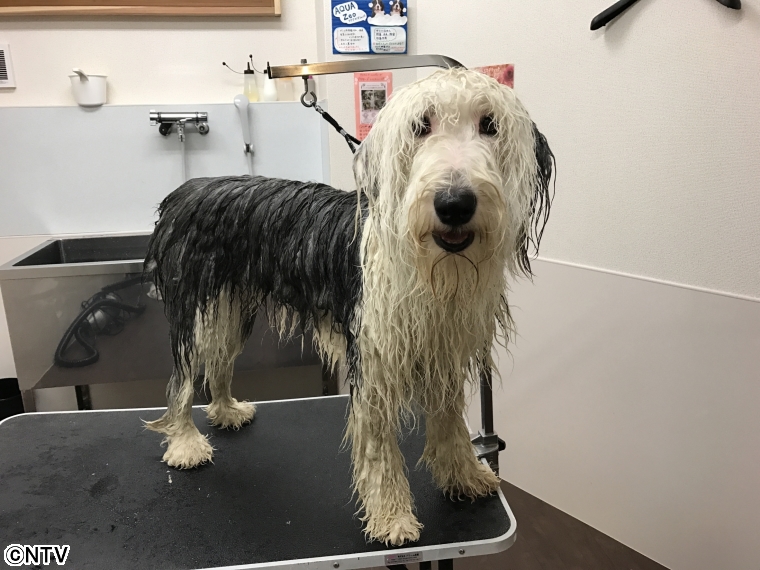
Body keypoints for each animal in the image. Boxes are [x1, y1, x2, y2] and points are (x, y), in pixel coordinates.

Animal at [144, 67, 553, 546]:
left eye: (490, 125)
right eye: (421, 125)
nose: (454, 203)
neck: (429, 267)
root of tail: (189, 189)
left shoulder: (443, 350)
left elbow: (451, 423)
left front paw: (464, 476)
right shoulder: (372, 358)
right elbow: (379, 448)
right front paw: (392, 516)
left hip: (230, 307)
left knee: (219, 362)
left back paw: (226, 410)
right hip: (193, 307)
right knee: (183, 376)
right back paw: (185, 442)